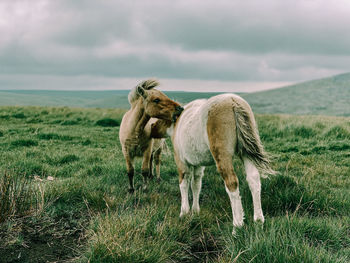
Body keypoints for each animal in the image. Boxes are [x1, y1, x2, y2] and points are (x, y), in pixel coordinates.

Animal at [152, 94, 274, 234]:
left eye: (159, 118)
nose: (151, 128)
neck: (178, 123)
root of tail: (233, 101)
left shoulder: (181, 161)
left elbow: (184, 184)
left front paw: (184, 213)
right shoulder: (198, 164)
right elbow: (196, 185)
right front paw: (195, 211)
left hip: (222, 155)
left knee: (231, 183)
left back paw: (237, 227)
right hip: (246, 152)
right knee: (254, 180)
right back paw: (258, 222)